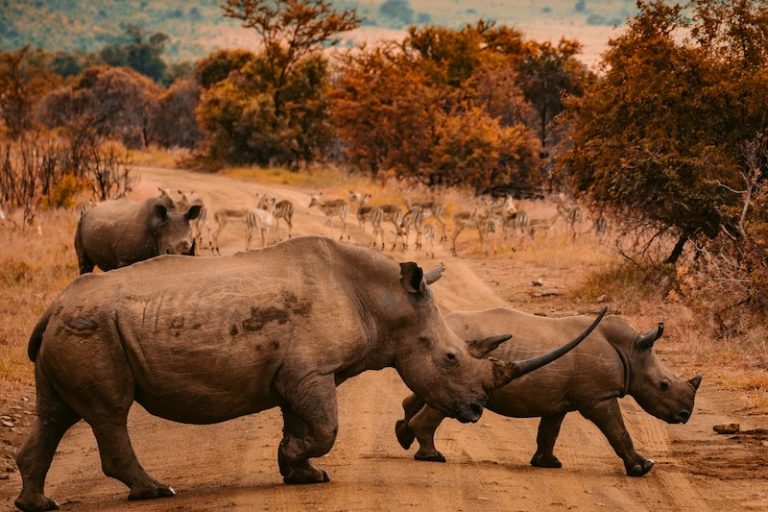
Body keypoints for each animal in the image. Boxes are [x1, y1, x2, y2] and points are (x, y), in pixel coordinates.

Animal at [14, 238, 606, 512]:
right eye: (451, 359)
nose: (477, 411)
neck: (386, 302)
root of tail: (50, 307)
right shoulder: (311, 371)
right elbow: (326, 428)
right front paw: (298, 463)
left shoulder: (302, 373)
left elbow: (302, 422)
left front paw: (300, 473)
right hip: (92, 329)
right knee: (110, 413)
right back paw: (156, 491)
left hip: (73, 327)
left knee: (55, 414)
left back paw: (39, 504)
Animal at [74, 190, 202, 274]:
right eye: (167, 250)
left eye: (190, 249)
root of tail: (88, 211)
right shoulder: (125, 260)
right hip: (80, 225)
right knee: (85, 264)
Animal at [395, 307, 702, 476]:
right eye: (663, 385)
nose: (685, 415)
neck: (630, 351)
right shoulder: (599, 397)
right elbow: (619, 431)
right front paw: (643, 467)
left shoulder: (559, 401)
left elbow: (549, 431)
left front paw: (547, 464)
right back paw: (432, 456)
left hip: (444, 357)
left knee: (425, 392)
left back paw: (404, 436)